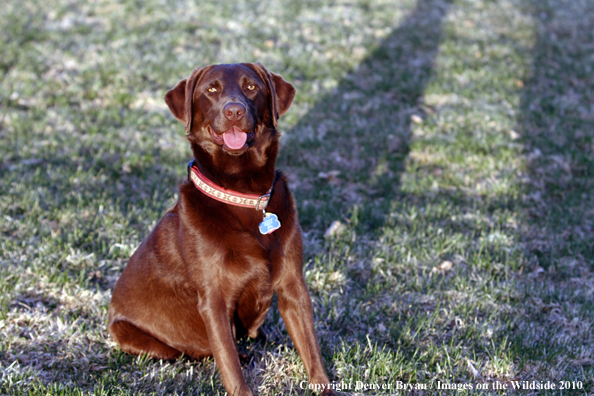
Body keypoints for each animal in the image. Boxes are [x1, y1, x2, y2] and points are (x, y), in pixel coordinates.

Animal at [107, 62, 338, 396]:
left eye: (251, 87)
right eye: (211, 89)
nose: (234, 111)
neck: (245, 194)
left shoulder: (293, 285)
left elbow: (312, 350)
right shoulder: (213, 301)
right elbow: (229, 365)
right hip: (130, 333)